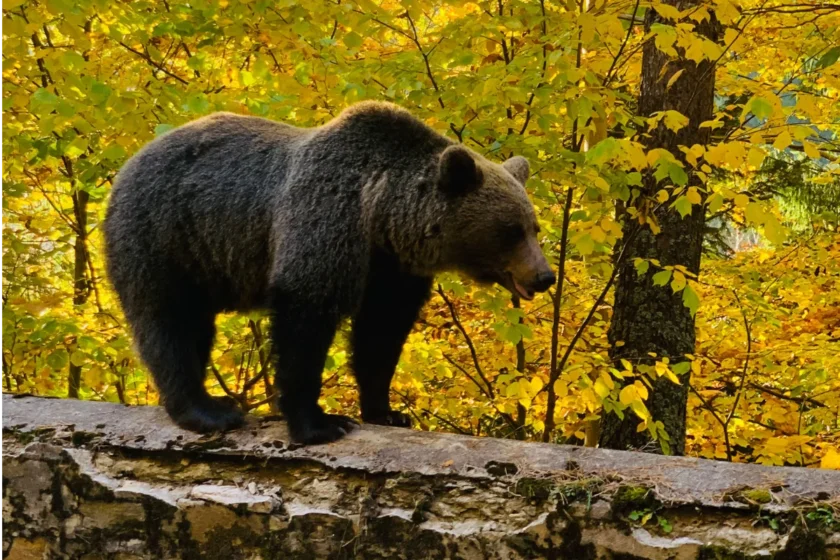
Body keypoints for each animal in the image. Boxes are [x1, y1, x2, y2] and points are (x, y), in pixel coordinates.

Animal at [103, 101, 555, 445]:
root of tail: (131, 162)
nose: (544, 276)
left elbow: (380, 333)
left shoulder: (392, 269)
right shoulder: (326, 220)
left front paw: (386, 411)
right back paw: (208, 410)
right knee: (168, 321)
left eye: (533, 227)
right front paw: (320, 423)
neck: (380, 217)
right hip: (164, 235)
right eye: (510, 230)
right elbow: (306, 318)